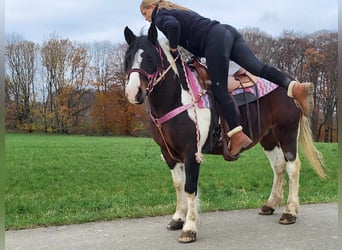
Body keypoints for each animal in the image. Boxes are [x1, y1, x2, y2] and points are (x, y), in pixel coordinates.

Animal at [122, 24, 324, 243]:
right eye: (127, 58)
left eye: (150, 58)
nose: (133, 93)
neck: (180, 98)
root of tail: (293, 82)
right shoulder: (169, 154)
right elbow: (178, 185)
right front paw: (177, 219)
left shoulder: (192, 152)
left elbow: (190, 188)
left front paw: (189, 228)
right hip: (269, 138)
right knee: (278, 167)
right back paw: (270, 204)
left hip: (287, 132)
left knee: (292, 167)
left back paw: (290, 212)